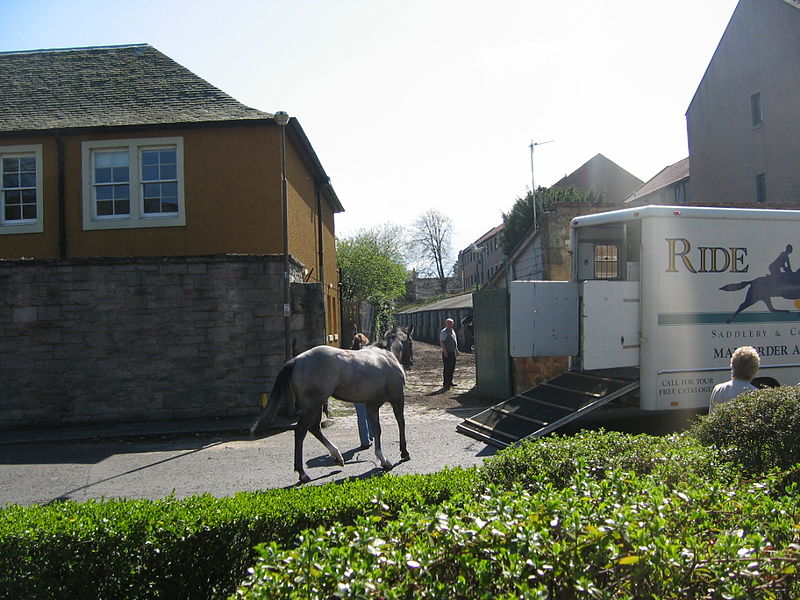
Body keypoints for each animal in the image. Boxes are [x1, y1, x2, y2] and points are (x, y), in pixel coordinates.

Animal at [250, 326, 412, 486]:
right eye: (410, 342)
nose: (410, 363)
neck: (386, 355)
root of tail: (296, 360)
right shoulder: (397, 398)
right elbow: (401, 423)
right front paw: (404, 453)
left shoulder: (372, 405)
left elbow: (377, 430)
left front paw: (383, 460)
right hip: (312, 406)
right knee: (301, 432)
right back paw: (303, 474)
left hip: (317, 405)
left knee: (314, 429)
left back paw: (337, 457)